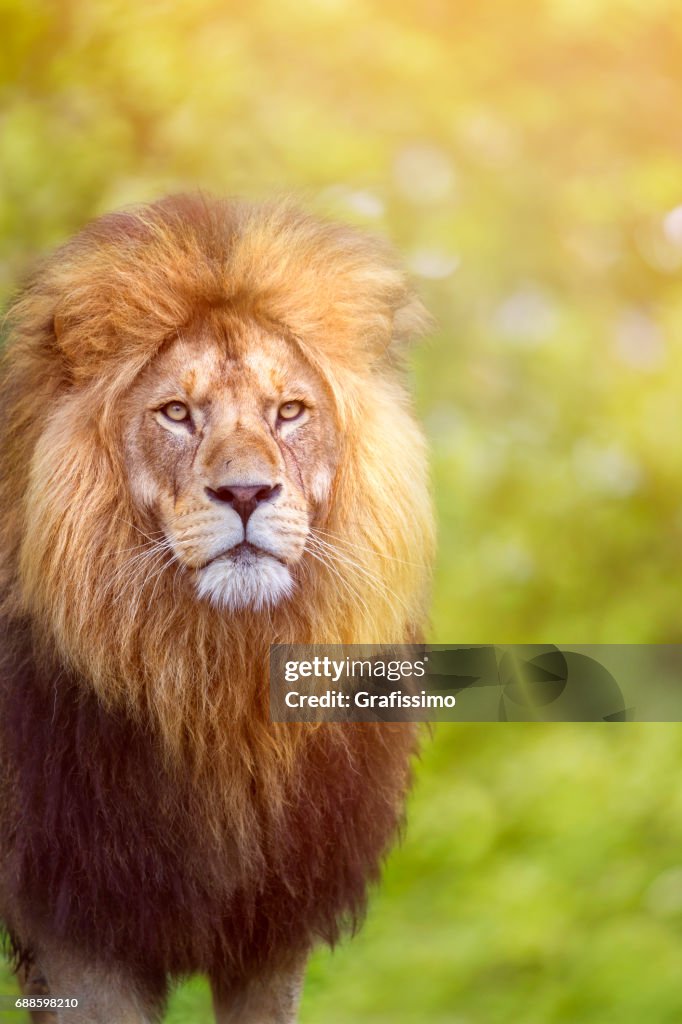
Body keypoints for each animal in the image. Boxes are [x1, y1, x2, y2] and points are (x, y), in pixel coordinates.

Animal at [0, 193, 432, 1024]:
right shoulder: (74, 916)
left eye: (290, 411)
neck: (216, 687)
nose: (245, 492)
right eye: (176, 413)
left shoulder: (275, 920)